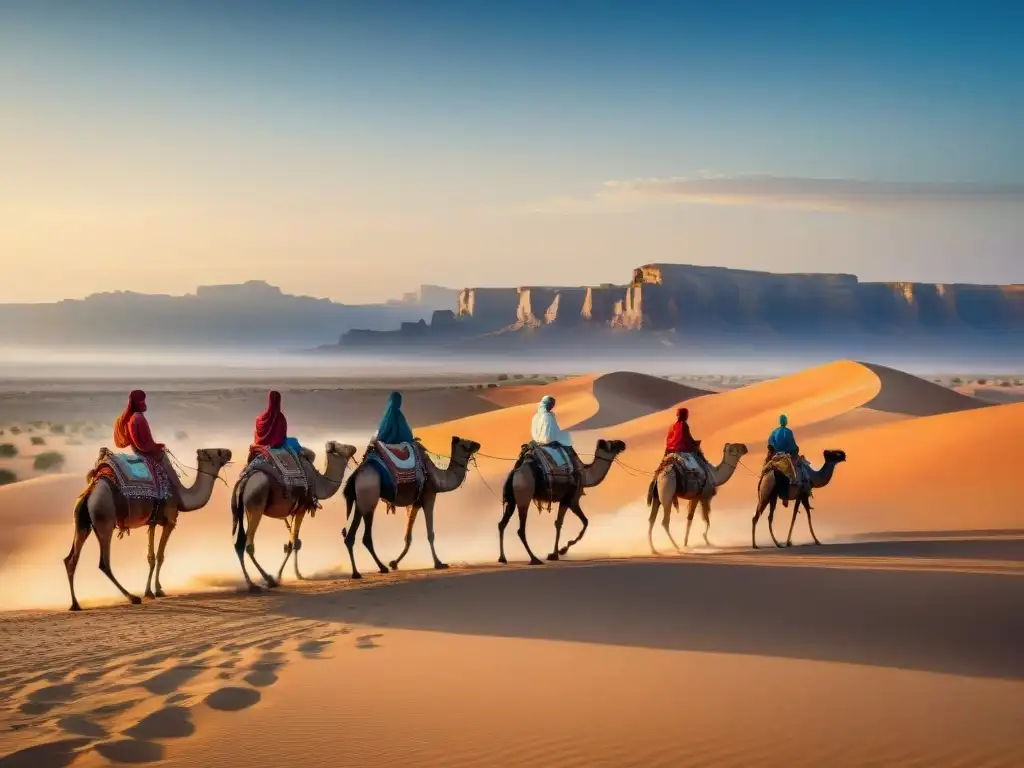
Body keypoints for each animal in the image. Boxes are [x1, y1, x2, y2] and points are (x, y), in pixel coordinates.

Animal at [64, 448, 232, 610]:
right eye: (218, 452)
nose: (229, 452)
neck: (181, 497)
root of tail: (90, 491)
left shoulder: (152, 522)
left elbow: (150, 557)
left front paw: (149, 592)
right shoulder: (170, 521)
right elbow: (160, 556)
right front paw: (158, 590)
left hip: (82, 523)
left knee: (71, 559)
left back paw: (75, 604)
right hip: (104, 518)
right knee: (104, 563)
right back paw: (132, 597)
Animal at [230, 444, 358, 589]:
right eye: (342, 447)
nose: (353, 447)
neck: (317, 481)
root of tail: (244, 481)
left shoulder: (292, 511)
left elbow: (294, 542)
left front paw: (297, 574)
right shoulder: (301, 509)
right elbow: (292, 543)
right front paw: (280, 576)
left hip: (243, 509)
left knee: (239, 543)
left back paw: (251, 583)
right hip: (256, 504)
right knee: (249, 545)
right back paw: (267, 580)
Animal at [337, 436, 477, 581]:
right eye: (465, 443)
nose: (477, 445)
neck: (436, 477)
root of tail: (355, 476)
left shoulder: (416, 503)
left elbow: (408, 537)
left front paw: (394, 563)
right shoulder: (429, 496)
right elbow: (430, 534)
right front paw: (439, 563)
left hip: (361, 502)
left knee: (354, 537)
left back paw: (367, 570)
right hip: (369, 498)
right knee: (362, 537)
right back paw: (371, 570)